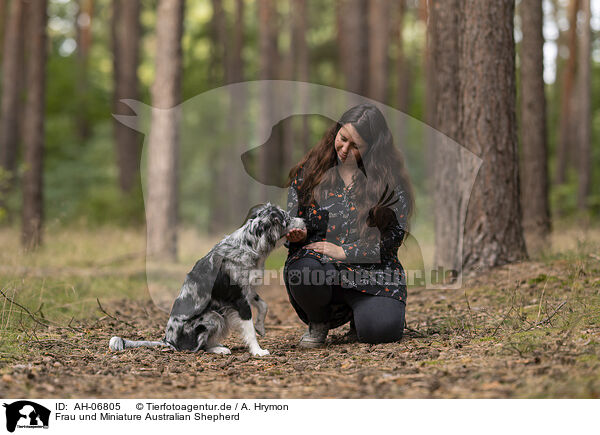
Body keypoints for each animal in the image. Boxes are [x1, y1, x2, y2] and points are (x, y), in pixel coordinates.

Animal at [109, 204, 304, 358]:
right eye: (287, 218)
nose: (304, 219)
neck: (249, 245)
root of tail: (168, 341)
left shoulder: (248, 291)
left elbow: (264, 305)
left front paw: (261, 327)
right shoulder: (239, 299)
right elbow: (249, 330)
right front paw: (258, 351)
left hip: (220, 316)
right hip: (213, 317)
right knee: (197, 348)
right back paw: (218, 350)